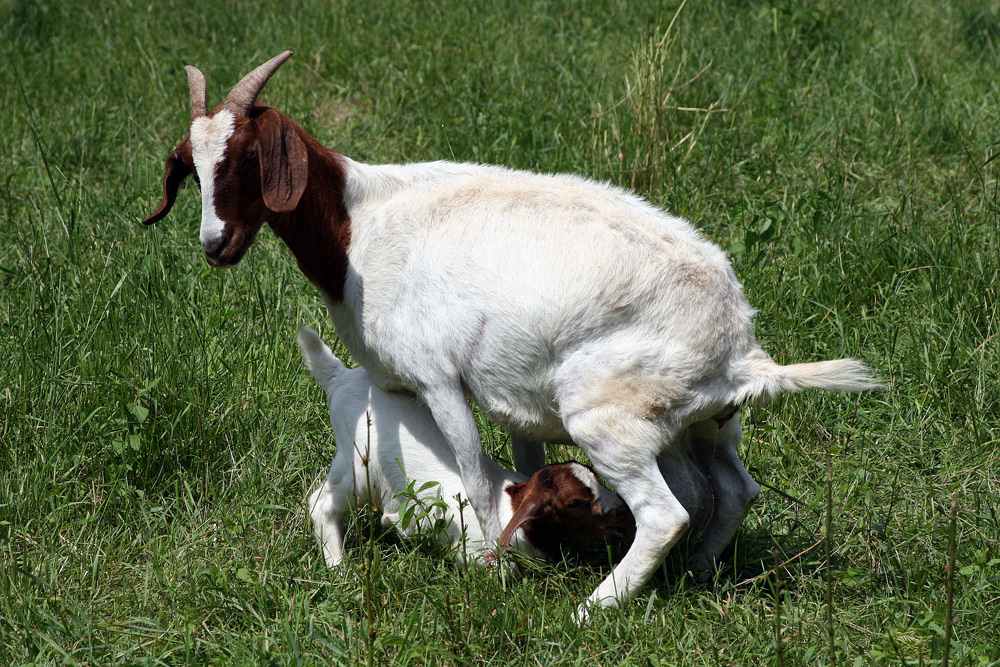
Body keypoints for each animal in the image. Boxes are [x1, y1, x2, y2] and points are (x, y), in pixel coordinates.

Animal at [296, 326, 632, 568]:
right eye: (575, 502)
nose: (623, 512)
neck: (511, 506)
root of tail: (340, 377)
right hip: (358, 467)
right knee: (321, 504)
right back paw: (338, 567)